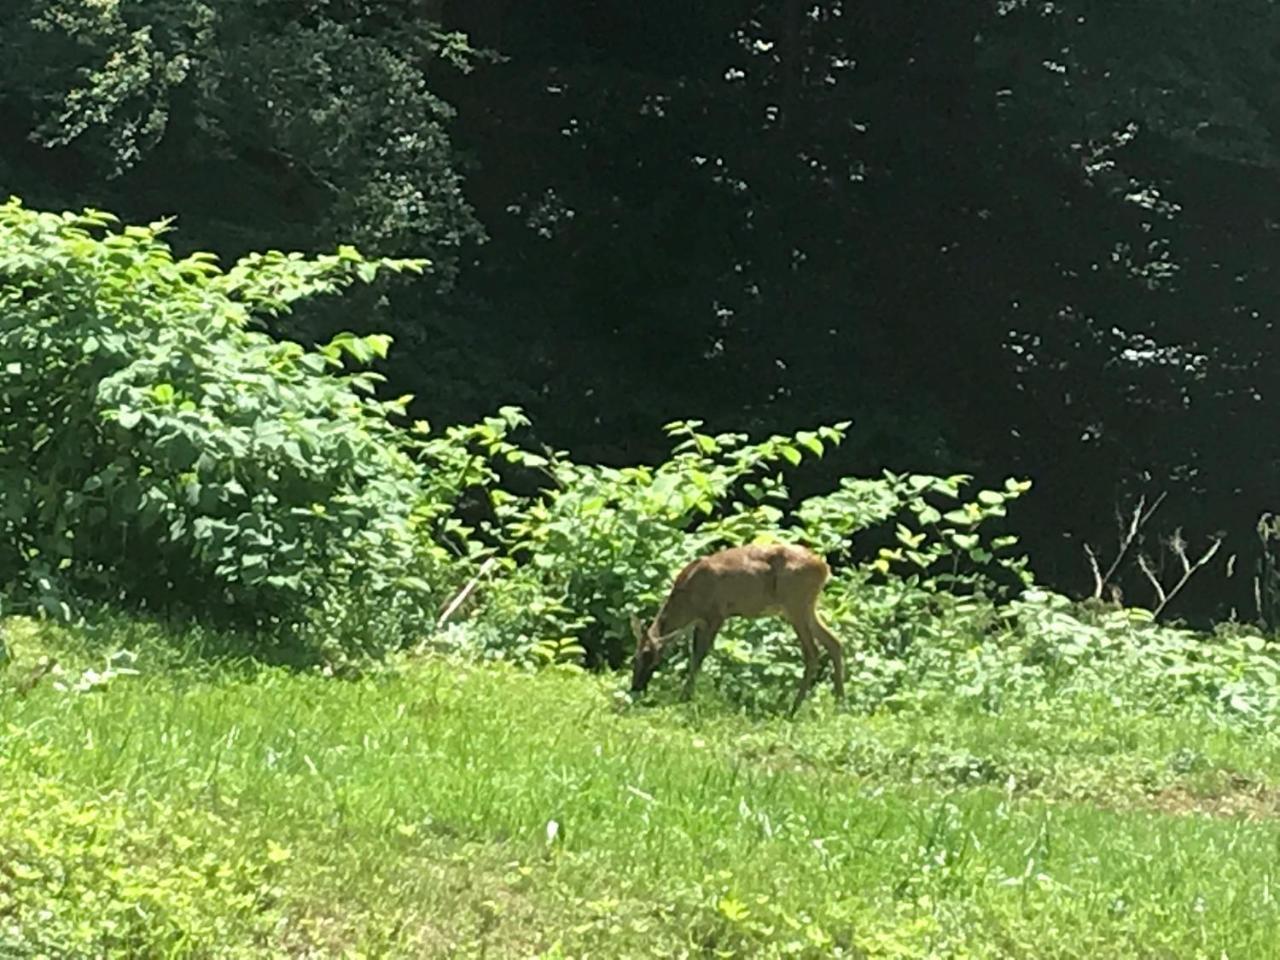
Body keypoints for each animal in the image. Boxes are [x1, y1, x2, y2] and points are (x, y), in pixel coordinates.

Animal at [627, 542, 844, 716]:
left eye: (650, 657)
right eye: (633, 658)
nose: (635, 687)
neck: (688, 599)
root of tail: (824, 567)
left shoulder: (716, 613)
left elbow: (699, 655)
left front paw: (685, 698)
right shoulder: (700, 621)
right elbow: (695, 654)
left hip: (796, 603)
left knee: (812, 651)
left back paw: (794, 709)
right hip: (805, 607)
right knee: (834, 642)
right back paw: (839, 703)